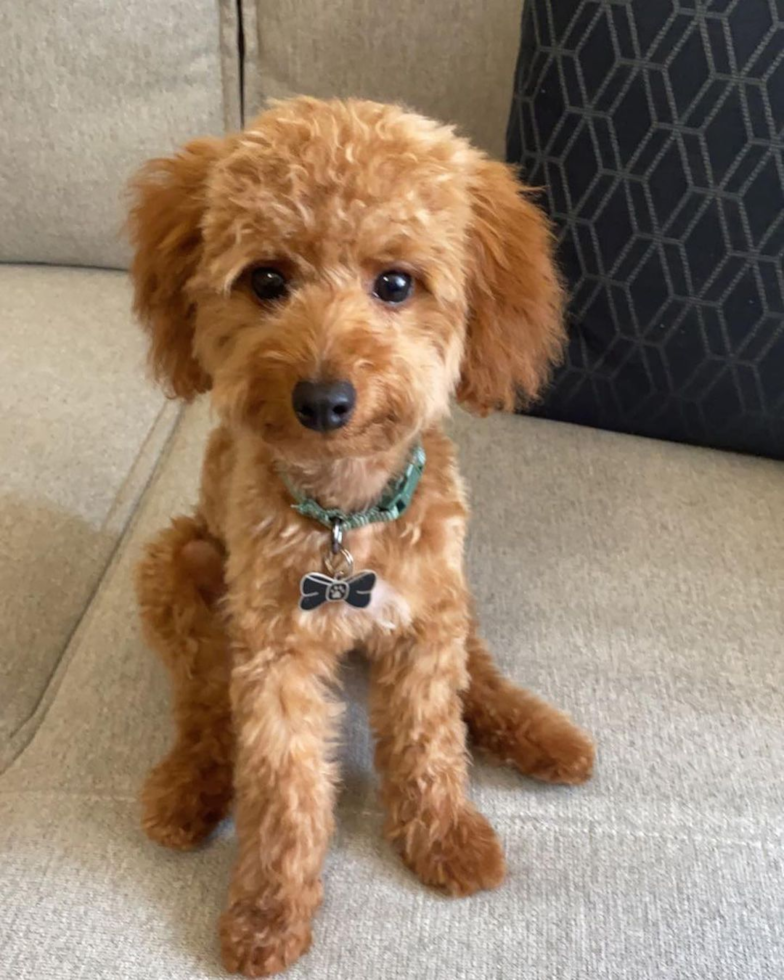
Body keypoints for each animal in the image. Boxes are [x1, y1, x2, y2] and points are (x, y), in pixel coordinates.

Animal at [130, 95, 596, 976]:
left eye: (396, 284)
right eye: (267, 279)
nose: (323, 398)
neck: (346, 522)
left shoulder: (425, 624)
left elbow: (430, 739)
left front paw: (445, 838)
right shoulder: (274, 655)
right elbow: (284, 790)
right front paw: (267, 915)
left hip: (452, 595)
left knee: (480, 673)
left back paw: (545, 737)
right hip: (179, 567)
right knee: (204, 705)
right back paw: (189, 788)